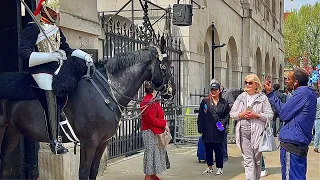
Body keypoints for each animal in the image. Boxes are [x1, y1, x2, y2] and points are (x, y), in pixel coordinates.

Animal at [0, 44, 175, 179]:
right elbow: (84, 173)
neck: (108, 92)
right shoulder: (88, 143)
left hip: (12, 131)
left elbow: (93, 172)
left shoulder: (102, 143)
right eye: (165, 66)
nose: (171, 92)